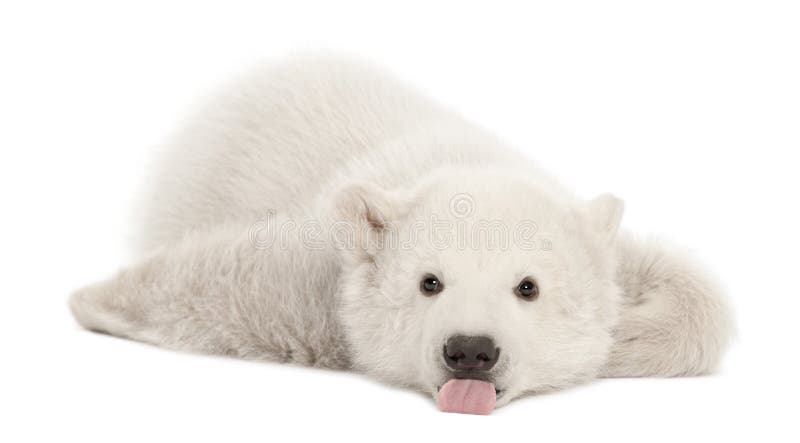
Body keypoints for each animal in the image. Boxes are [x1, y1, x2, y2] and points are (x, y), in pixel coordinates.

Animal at [69, 55, 733, 414]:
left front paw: (623, 336)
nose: (471, 351)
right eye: (428, 281)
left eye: (529, 287)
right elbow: (235, 284)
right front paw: (91, 299)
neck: (460, 164)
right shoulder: (322, 278)